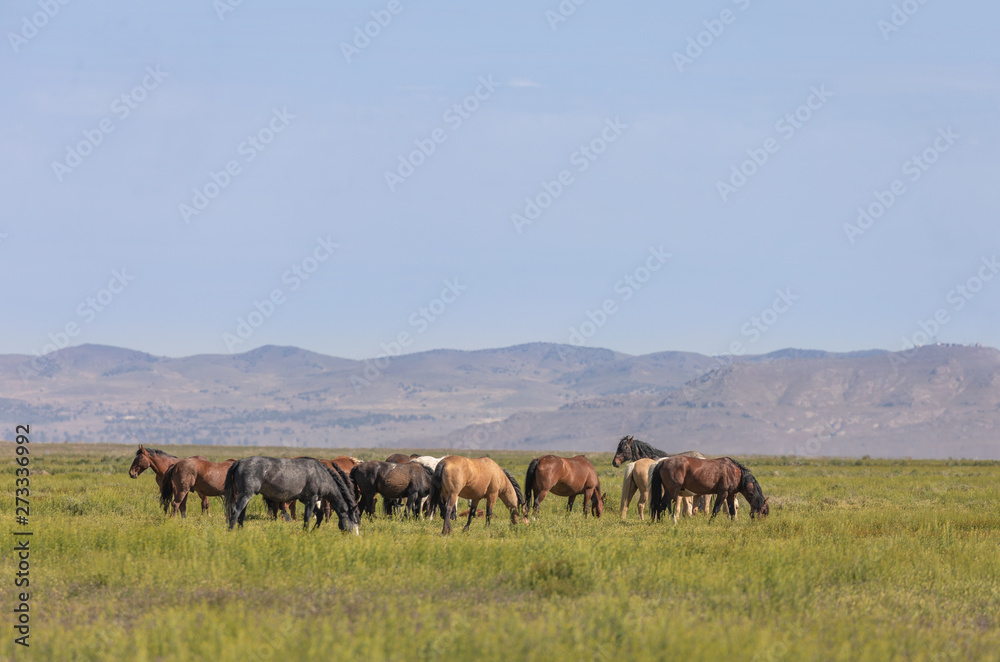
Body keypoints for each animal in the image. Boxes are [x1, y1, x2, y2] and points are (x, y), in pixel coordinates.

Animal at [224, 456, 360, 536]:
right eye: (354, 520)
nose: (355, 536)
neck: (321, 474)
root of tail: (240, 461)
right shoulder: (311, 499)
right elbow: (307, 517)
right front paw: (306, 533)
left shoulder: (307, 500)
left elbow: (320, 515)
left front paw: (314, 531)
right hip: (245, 495)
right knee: (236, 511)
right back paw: (230, 532)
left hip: (245, 495)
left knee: (241, 513)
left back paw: (241, 532)